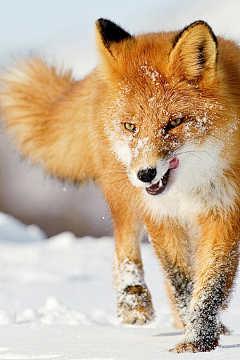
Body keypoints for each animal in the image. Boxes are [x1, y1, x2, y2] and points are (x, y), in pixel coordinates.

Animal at [0, 19, 240, 352]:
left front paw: (197, 340)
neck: (189, 189)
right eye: (131, 127)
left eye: (174, 122)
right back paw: (134, 302)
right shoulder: (160, 214)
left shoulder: (223, 212)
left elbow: (208, 287)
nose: (146, 174)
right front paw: (195, 339)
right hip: (124, 194)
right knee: (123, 247)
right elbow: (181, 280)